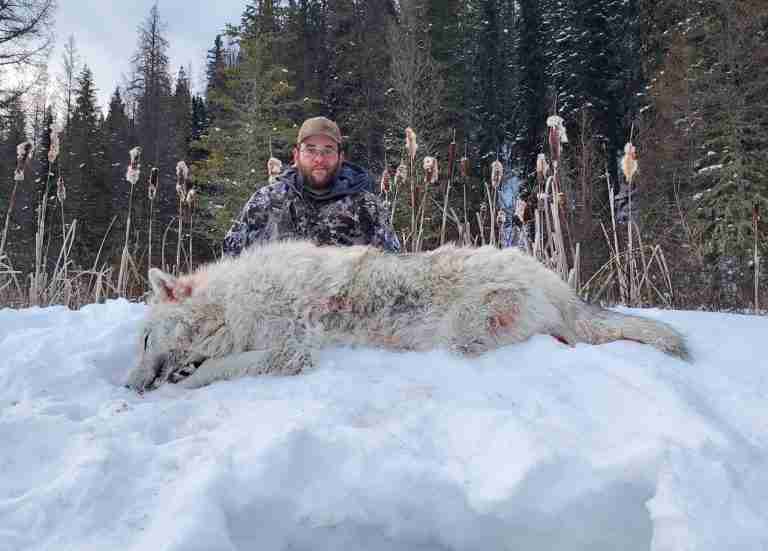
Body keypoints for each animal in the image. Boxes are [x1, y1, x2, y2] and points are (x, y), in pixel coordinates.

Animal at [126, 241, 688, 392]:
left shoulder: (292, 352)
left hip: (462, 330)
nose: (127, 385)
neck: (230, 307)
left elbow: (220, 369)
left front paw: (184, 378)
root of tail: (561, 286)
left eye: (146, 338)